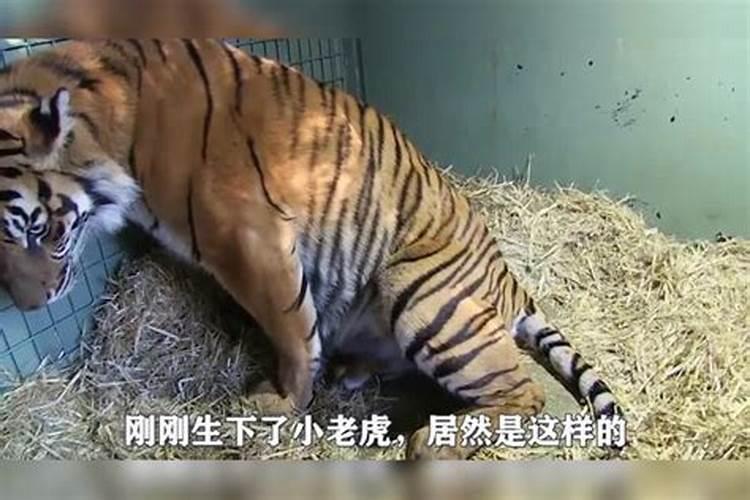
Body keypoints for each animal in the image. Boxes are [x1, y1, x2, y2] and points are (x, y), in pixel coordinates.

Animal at [0, 39, 624, 459]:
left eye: (36, 229)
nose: (28, 306)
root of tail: (509, 277)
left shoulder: (252, 239)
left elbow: (293, 334)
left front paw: (278, 405)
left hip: (420, 292)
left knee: (523, 392)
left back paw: (433, 442)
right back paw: (352, 371)